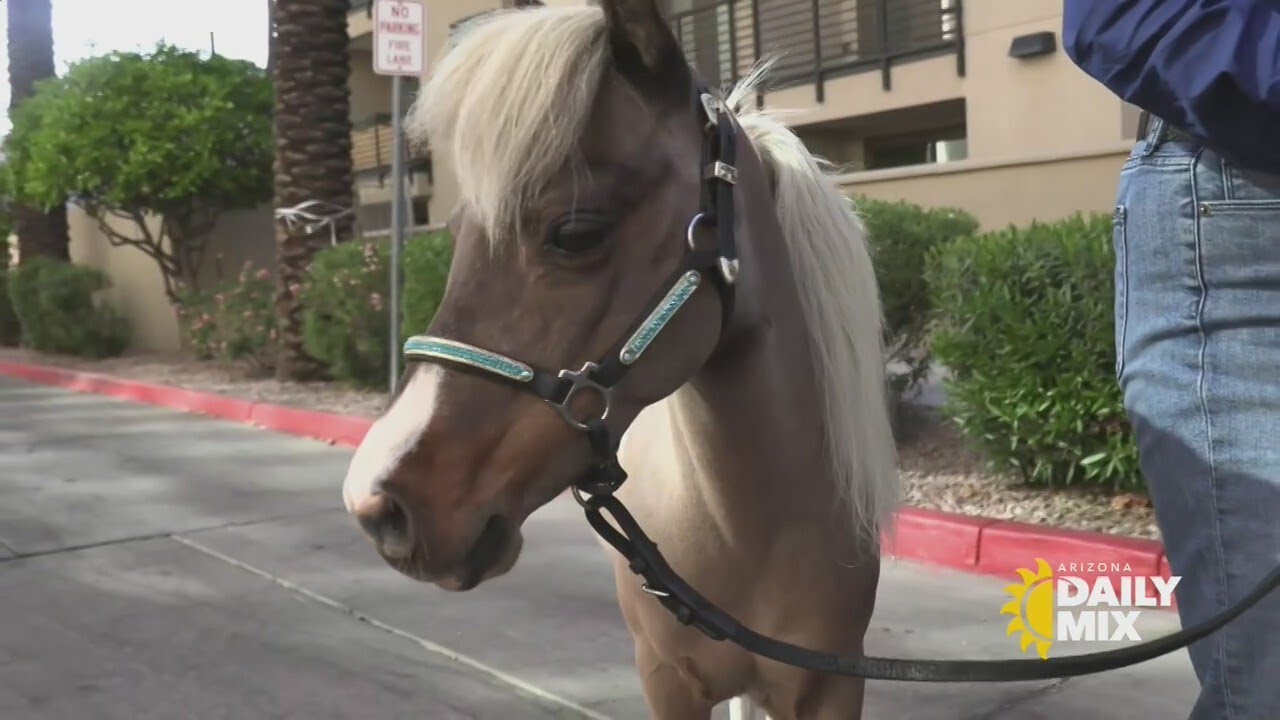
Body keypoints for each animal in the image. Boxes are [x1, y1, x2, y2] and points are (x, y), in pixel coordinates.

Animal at [341, 1, 899, 717]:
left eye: (576, 232)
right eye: (459, 232)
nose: (375, 501)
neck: (748, 529)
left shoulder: (831, 682)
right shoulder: (665, 677)